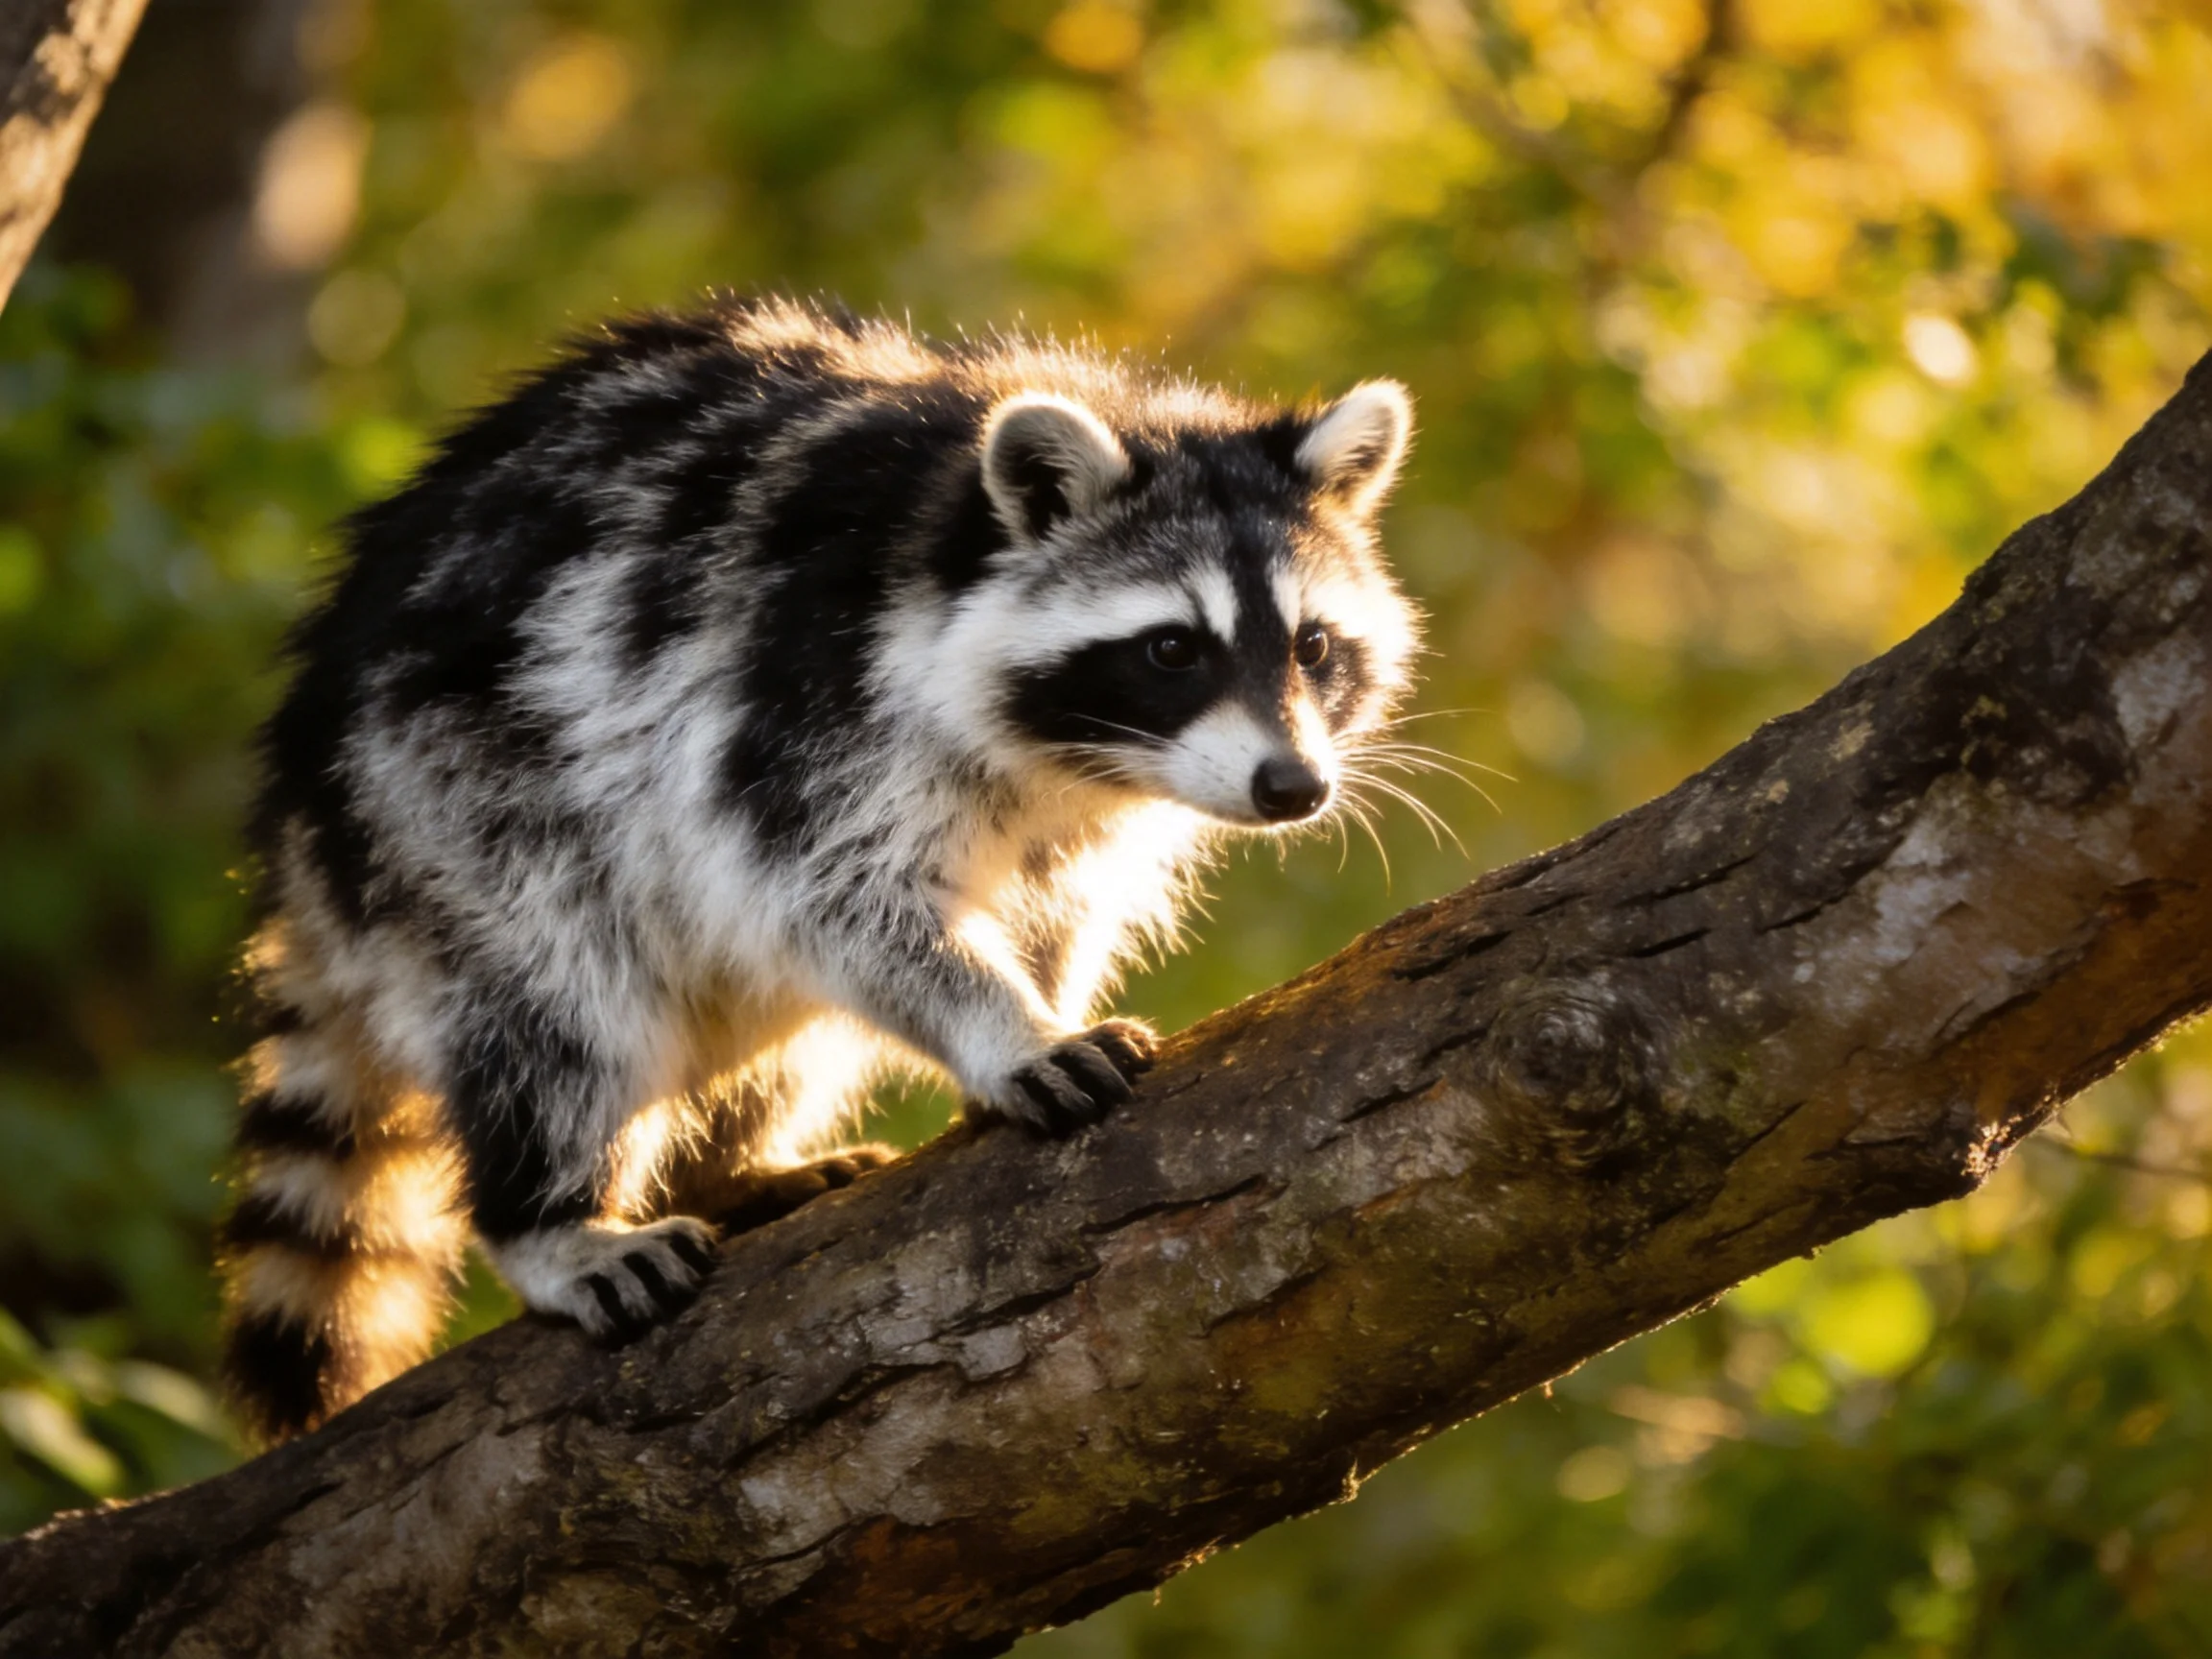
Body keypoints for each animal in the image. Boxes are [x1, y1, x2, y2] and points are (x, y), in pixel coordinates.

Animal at [220, 296, 1420, 1441]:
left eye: (1313, 647)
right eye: (1174, 649)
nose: (1293, 787)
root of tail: (307, 801)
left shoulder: (1079, 818)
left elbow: (1055, 908)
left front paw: (1043, 995)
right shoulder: (801, 697)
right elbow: (837, 901)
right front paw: (1010, 1029)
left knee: (775, 1036)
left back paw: (732, 1164)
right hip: (457, 801)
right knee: (563, 1013)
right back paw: (551, 1219)